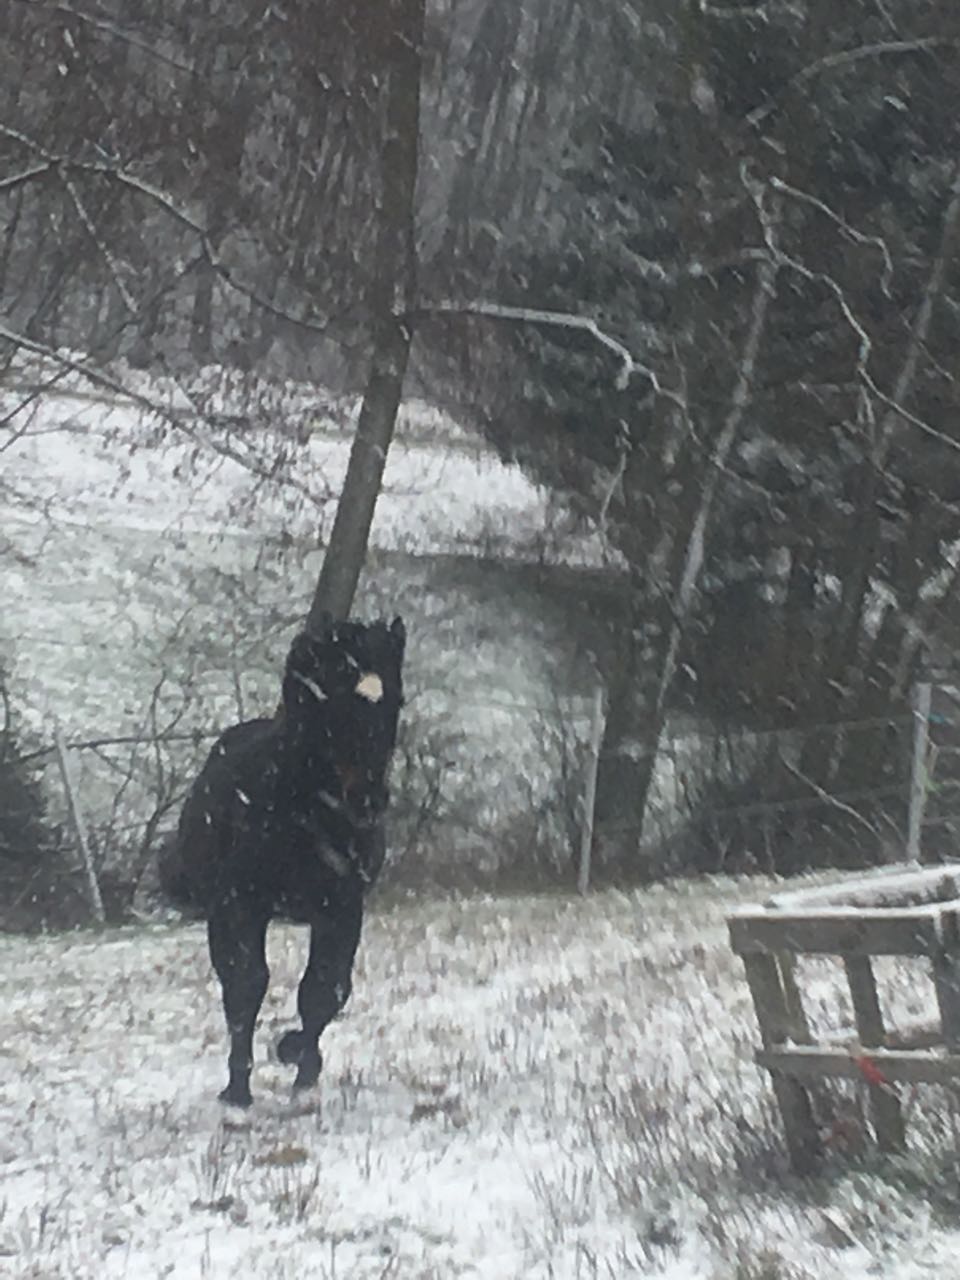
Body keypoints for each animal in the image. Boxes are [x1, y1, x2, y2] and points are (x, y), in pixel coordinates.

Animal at [159, 616, 405, 1106]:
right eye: (334, 703)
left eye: (395, 701)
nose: (368, 799)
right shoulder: (240, 905)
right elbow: (247, 985)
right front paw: (239, 1088)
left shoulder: (342, 908)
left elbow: (326, 989)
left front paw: (300, 1061)